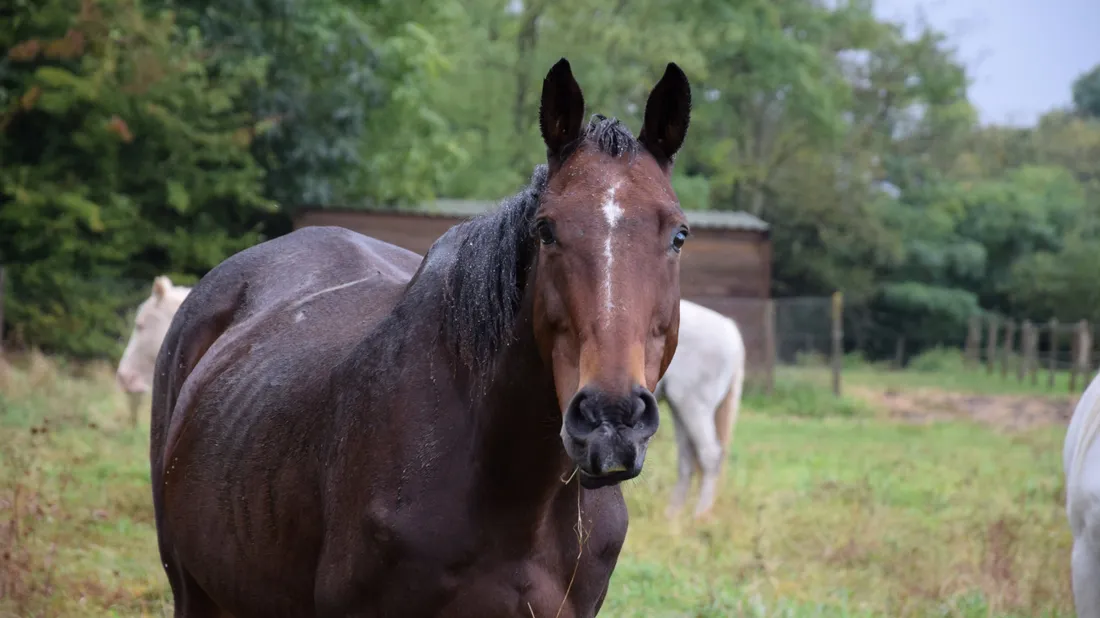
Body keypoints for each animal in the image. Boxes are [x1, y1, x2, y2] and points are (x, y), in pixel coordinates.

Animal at [656, 299, 745, 520]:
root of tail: (728, 327)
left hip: (692, 406)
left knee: (709, 455)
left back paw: (699, 515)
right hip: (679, 407)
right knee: (687, 459)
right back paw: (673, 517)